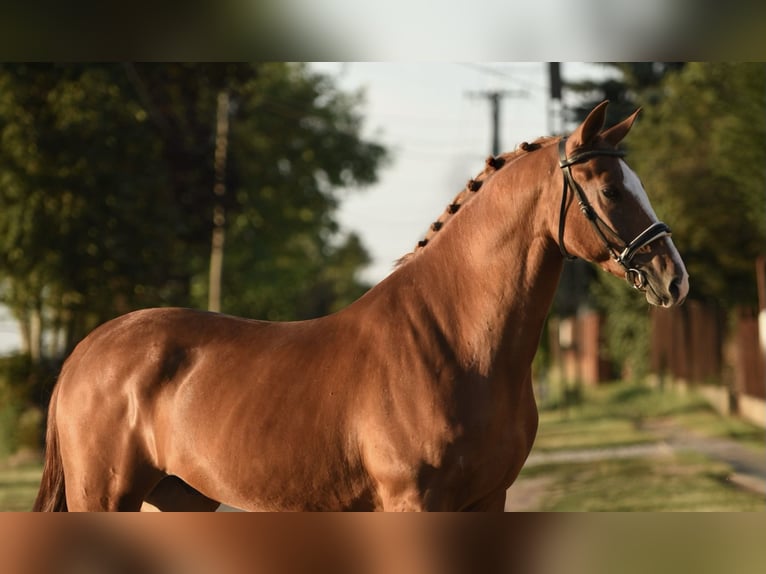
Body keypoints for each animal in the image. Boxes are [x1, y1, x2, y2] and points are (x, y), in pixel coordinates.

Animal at [33, 100, 688, 512]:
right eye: (610, 189)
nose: (673, 278)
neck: (454, 343)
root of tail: (85, 352)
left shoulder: (488, 500)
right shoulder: (415, 502)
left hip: (178, 500)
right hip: (106, 498)